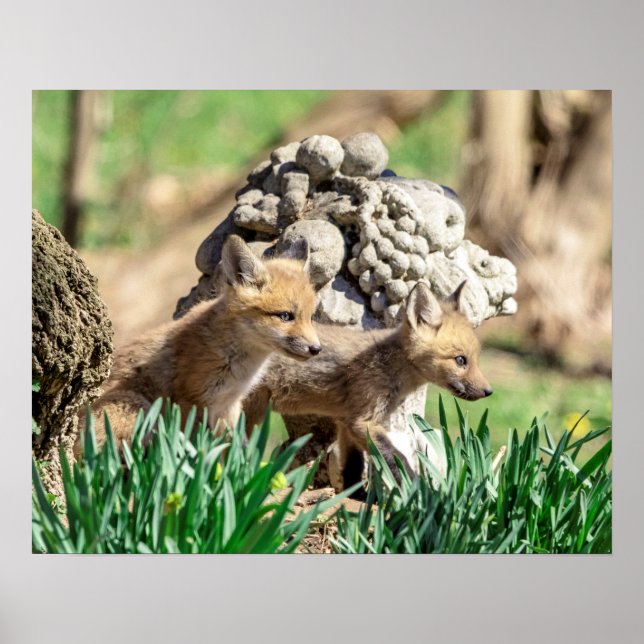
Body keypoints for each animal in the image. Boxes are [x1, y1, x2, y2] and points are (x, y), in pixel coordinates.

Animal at [74, 235, 320, 458]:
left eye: (311, 317)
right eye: (285, 316)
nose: (316, 349)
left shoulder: (229, 404)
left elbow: (233, 450)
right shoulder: (190, 402)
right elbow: (191, 446)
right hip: (138, 407)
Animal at [244, 280, 492, 495]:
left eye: (475, 359)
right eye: (460, 360)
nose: (488, 392)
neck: (390, 365)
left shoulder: (347, 421)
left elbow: (352, 467)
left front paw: (353, 497)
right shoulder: (363, 421)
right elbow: (397, 458)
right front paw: (419, 492)